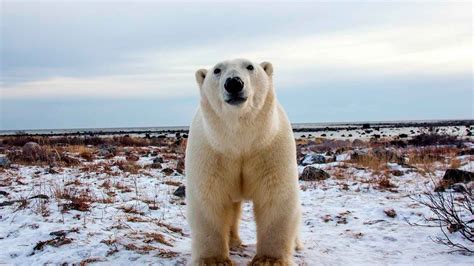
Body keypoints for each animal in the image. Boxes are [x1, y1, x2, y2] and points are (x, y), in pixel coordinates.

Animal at [184, 58, 300, 266]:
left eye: (250, 66)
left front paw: (269, 260)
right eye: (217, 70)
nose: (234, 83)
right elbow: (210, 199)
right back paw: (233, 241)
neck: (239, 143)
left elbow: (275, 197)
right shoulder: (211, 153)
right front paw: (214, 260)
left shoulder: (269, 149)